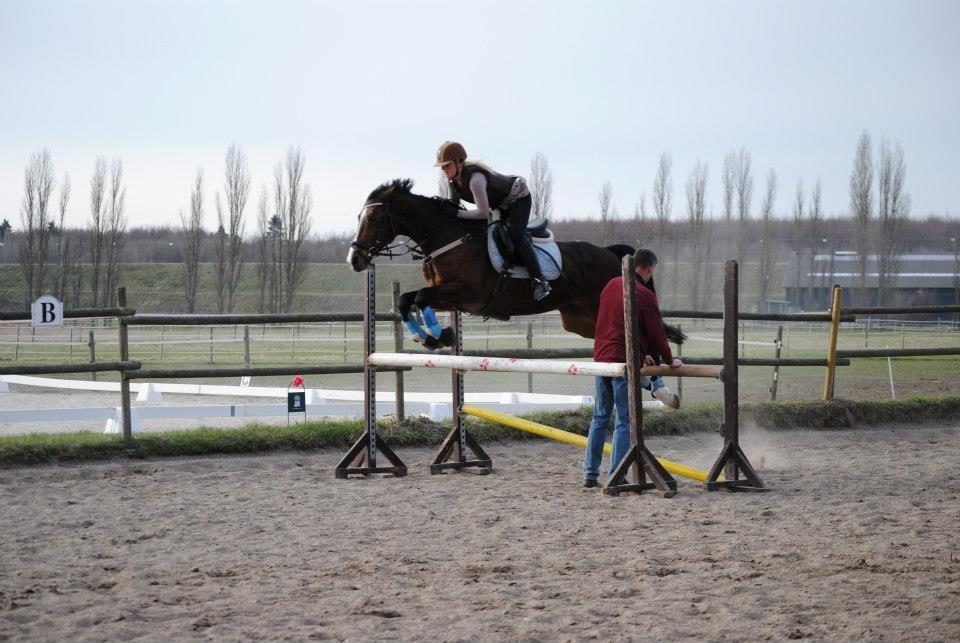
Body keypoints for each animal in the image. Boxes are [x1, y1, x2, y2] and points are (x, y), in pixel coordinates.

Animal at [344, 179, 684, 352]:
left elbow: (420, 298)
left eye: (373, 218)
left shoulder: (467, 295)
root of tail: (611, 254)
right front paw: (429, 337)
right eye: (359, 216)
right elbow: (407, 299)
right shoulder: (448, 295)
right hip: (580, 320)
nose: (355, 260)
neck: (449, 237)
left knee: (642, 341)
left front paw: (438, 335)